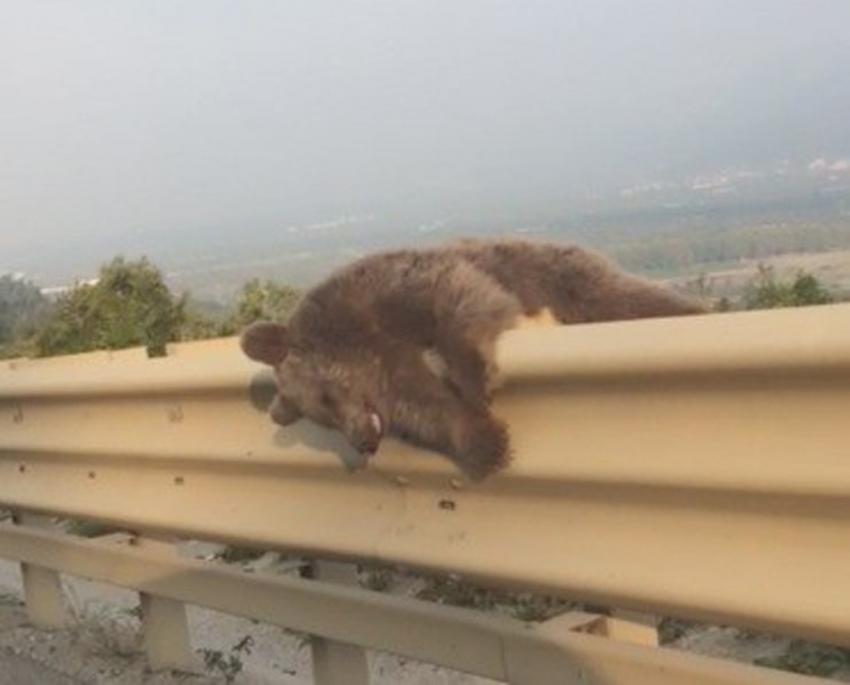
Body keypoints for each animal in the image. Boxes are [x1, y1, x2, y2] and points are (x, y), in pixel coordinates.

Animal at [238, 239, 704, 480]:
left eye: (326, 399)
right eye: (323, 419)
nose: (364, 443)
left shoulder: (392, 294)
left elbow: (457, 300)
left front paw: (477, 380)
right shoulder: (394, 378)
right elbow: (432, 411)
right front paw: (490, 445)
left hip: (554, 272)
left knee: (614, 295)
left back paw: (690, 309)